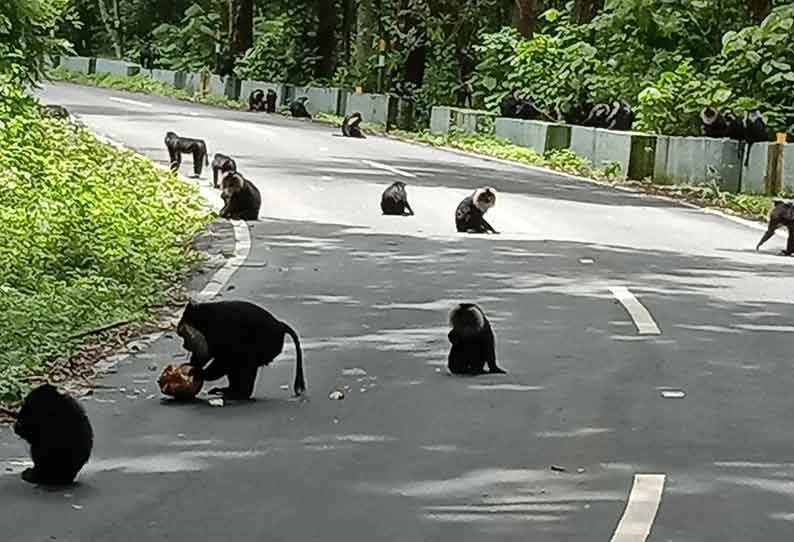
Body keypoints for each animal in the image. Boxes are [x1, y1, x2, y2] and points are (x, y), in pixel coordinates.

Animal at [176, 300, 304, 402]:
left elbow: (224, 359)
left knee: (244, 360)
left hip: (267, 343)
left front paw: (199, 373)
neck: (204, 322)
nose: (184, 345)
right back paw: (231, 391)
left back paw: (240, 394)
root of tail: (279, 325)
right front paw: (192, 364)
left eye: (184, 336)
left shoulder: (220, 331)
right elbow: (207, 355)